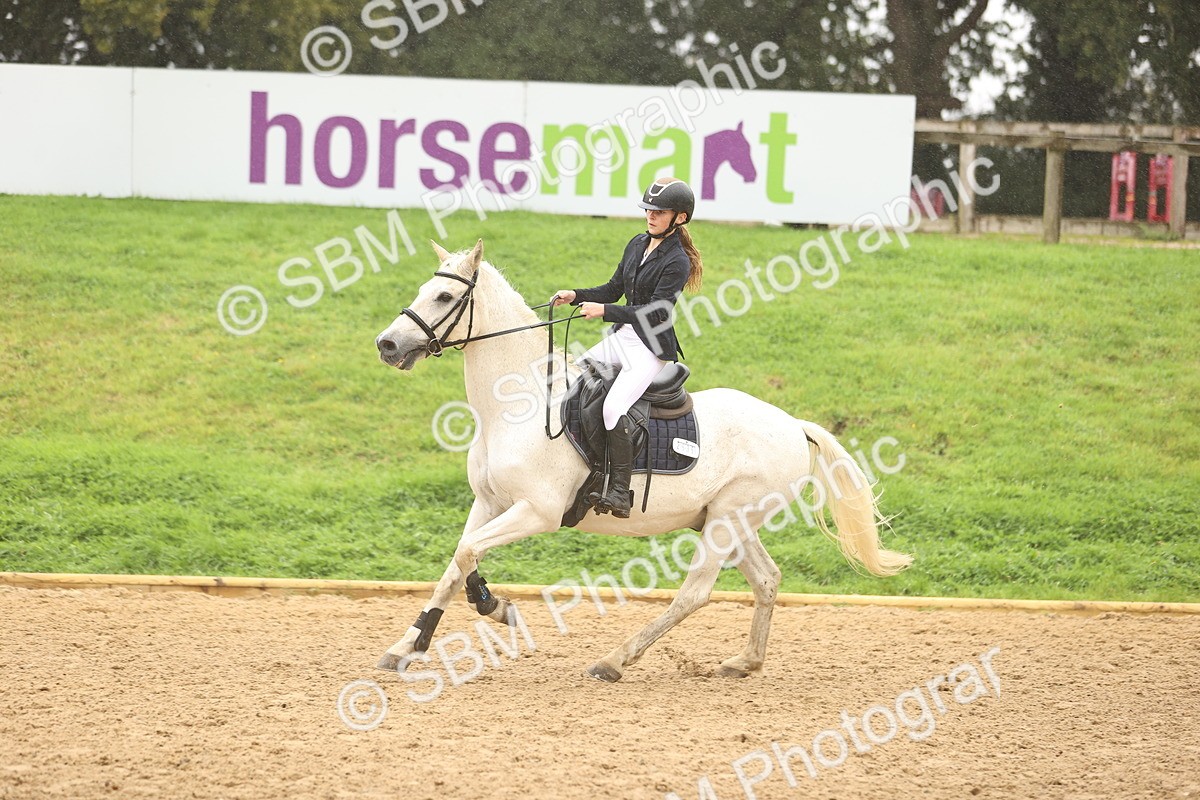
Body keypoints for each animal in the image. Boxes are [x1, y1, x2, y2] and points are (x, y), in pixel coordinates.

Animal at [373, 239, 911, 682]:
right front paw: (407, 646)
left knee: (695, 592)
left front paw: (495, 608)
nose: (387, 344)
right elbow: (456, 563)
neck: (516, 406)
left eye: (445, 298)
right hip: (728, 520)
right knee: (767, 579)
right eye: (423, 290)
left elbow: (467, 555)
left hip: (727, 521)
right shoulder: (488, 503)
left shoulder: (537, 511)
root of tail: (793, 425)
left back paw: (615, 660)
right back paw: (744, 662)